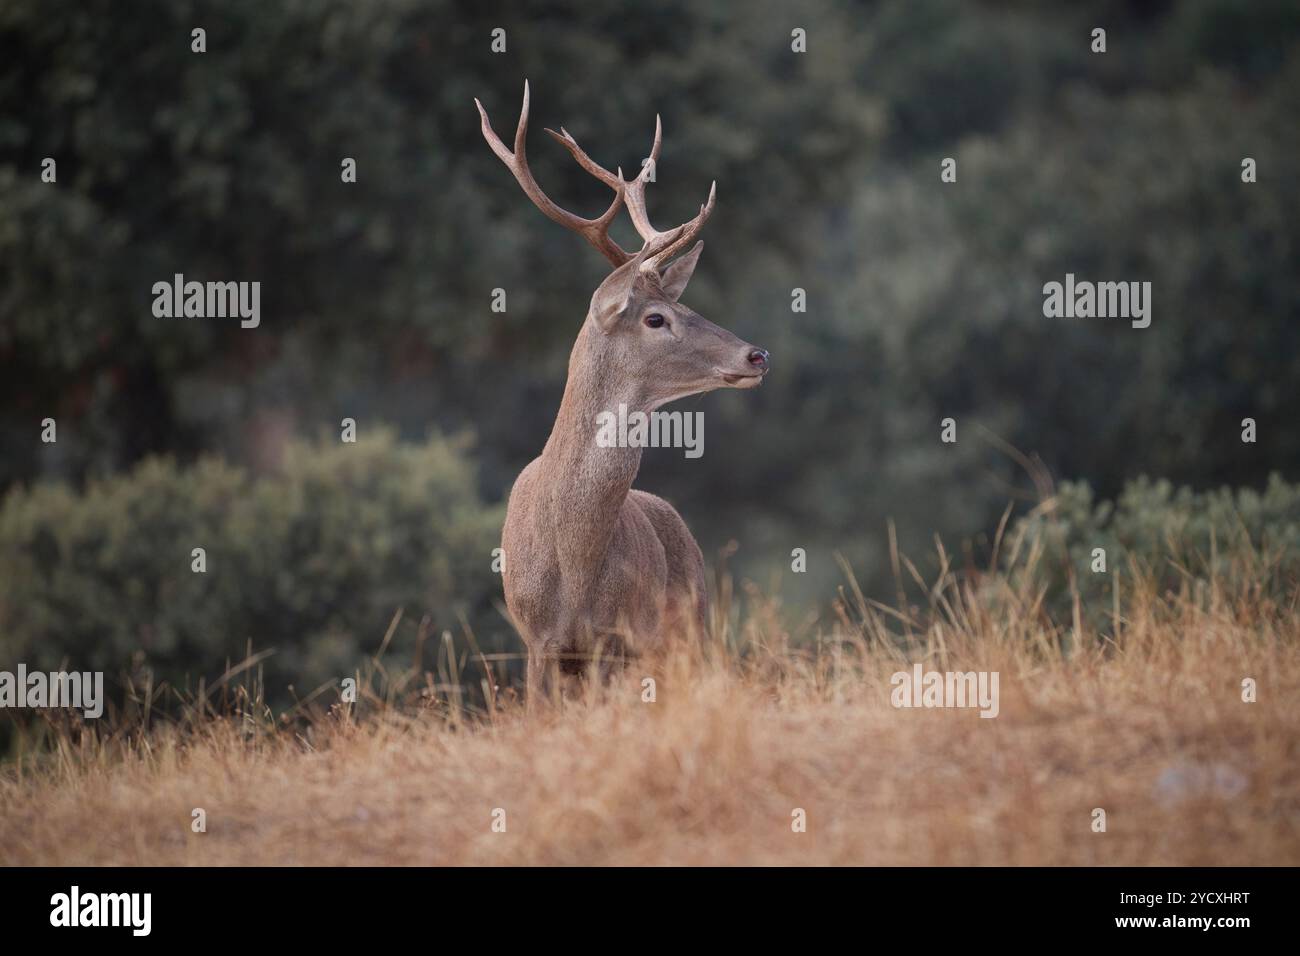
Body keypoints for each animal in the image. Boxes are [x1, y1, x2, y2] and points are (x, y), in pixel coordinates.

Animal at [476, 82, 770, 704]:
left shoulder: (615, 639)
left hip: (690, 628)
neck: (572, 563)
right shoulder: (538, 641)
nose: (757, 355)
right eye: (656, 318)